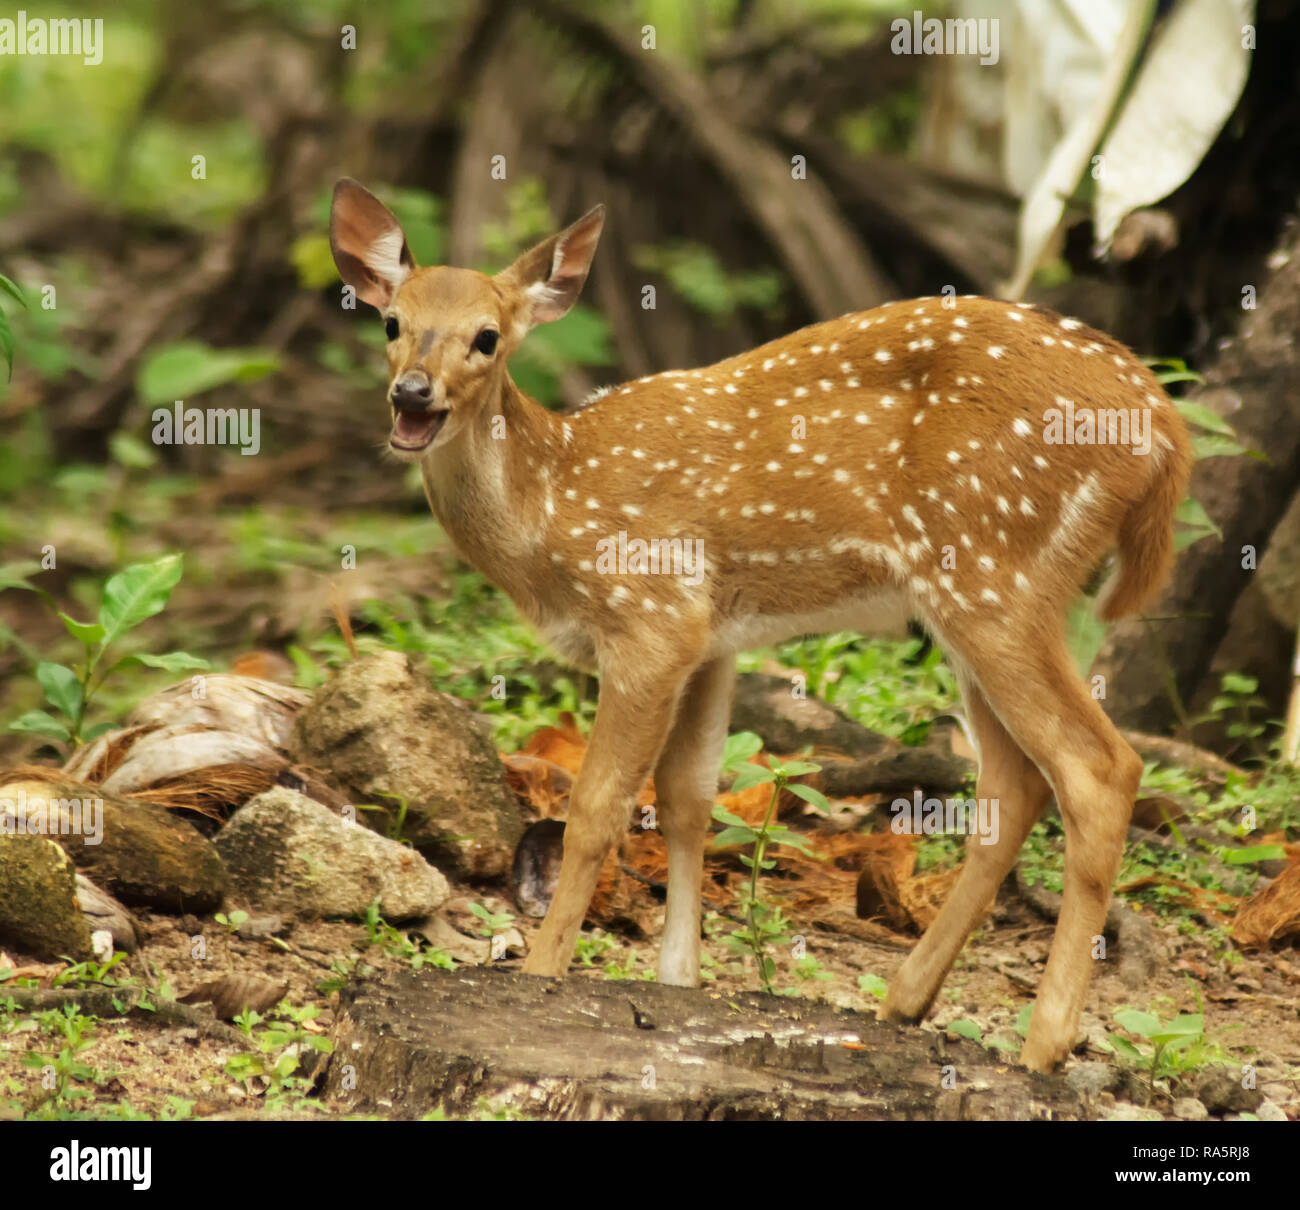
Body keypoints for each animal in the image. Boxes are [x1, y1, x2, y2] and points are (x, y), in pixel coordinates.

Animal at [332, 178, 1190, 1070]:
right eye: (392, 322)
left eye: (488, 337)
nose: (412, 392)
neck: (553, 504)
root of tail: (1165, 426)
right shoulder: (710, 641)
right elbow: (688, 800)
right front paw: (678, 980)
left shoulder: (650, 615)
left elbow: (598, 810)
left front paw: (542, 975)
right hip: (978, 596)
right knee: (1013, 783)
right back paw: (904, 1002)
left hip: (997, 572)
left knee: (1099, 768)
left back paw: (1042, 1046)